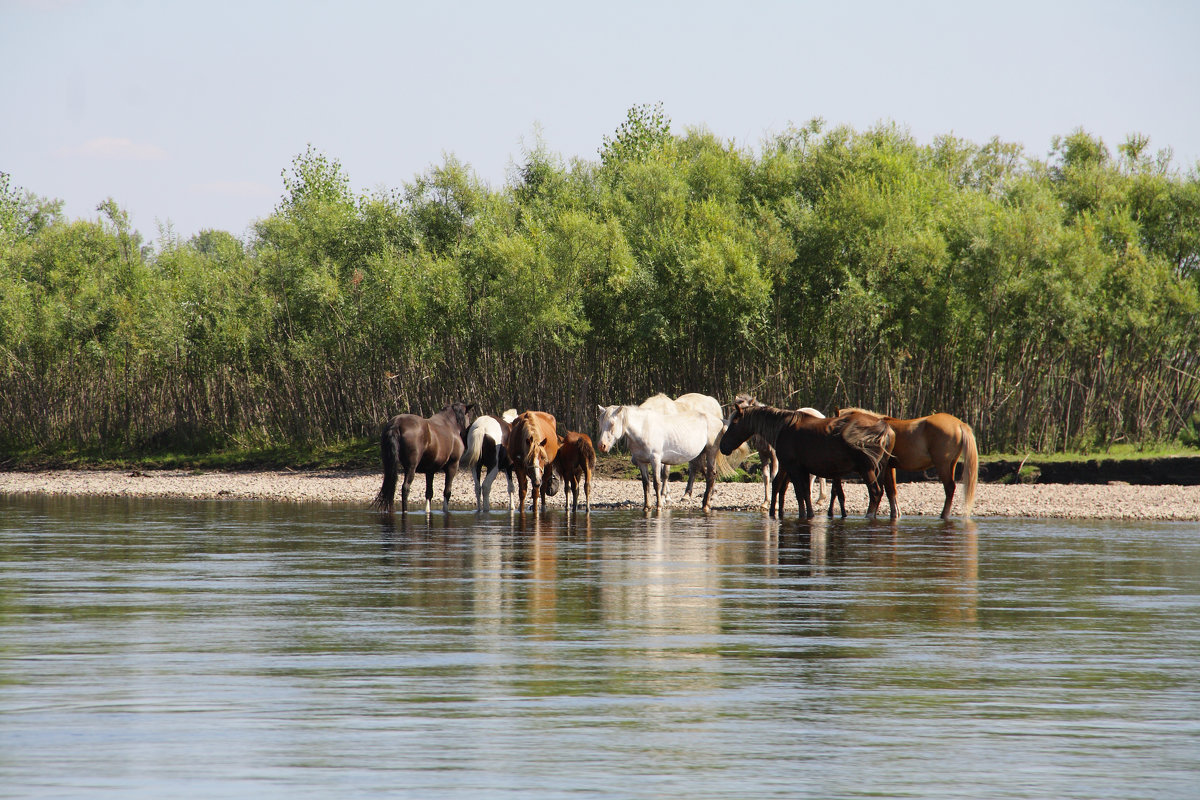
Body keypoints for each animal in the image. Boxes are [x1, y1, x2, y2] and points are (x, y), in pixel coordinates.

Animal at [715, 402, 897, 522]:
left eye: (734, 423)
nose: (723, 446)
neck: (783, 428)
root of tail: (884, 428)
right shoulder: (801, 469)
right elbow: (805, 493)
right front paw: (809, 514)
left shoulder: (794, 468)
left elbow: (799, 492)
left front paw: (804, 515)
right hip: (881, 469)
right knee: (882, 492)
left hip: (868, 469)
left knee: (875, 492)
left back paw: (869, 516)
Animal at [835, 407, 974, 520]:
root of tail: (959, 424)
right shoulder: (890, 467)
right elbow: (892, 491)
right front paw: (896, 514)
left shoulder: (885, 467)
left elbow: (888, 490)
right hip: (951, 464)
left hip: (942, 465)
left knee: (949, 487)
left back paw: (943, 515)